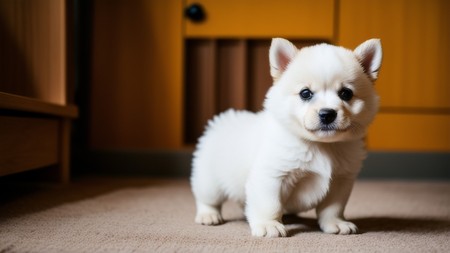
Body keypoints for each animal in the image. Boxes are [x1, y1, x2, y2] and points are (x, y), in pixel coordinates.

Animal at [192, 38, 382, 237]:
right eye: (305, 93)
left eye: (346, 93)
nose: (327, 114)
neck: (319, 145)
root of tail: (221, 120)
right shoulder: (271, 176)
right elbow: (270, 205)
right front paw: (268, 225)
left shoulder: (341, 180)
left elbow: (333, 208)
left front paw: (336, 223)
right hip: (209, 181)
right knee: (207, 199)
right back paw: (208, 216)